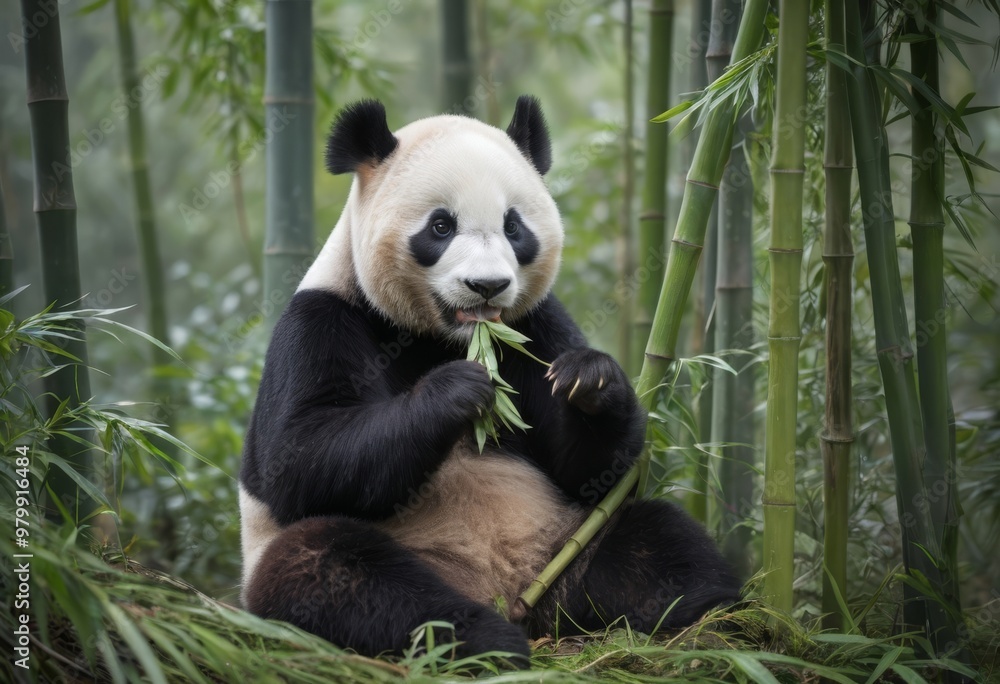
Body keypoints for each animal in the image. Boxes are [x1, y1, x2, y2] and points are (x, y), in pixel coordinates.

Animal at [238, 96, 739, 664]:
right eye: (440, 226)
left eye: (513, 226)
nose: (487, 286)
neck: (443, 336)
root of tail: (511, 595)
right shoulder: (321, 322)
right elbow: (299, 458)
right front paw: (457, 391)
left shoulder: (533, 325)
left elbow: (590, 469)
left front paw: (589, 380)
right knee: (332, 569)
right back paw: (481, 640)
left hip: (565, 547)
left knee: (658, 544)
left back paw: (715, 615)